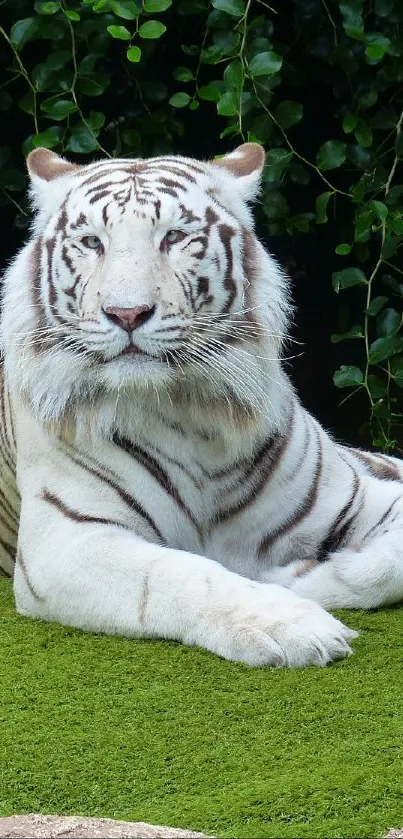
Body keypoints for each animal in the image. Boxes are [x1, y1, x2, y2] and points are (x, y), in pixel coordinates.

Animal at [0, 144, 402, 668]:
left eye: (174, 237)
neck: (190, 413)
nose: (126, 313)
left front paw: (299, 577)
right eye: (91, 242)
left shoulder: (361, 493)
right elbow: (181, 575)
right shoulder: (64, 541)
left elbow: (389, 564)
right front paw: (292, 622)